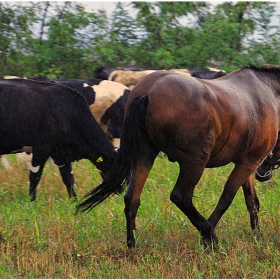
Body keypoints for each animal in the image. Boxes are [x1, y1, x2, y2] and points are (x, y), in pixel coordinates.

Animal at [75, 64, 280, 248]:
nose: (264, 174)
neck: (269, 91)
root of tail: (148, 92)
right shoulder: (249, 162)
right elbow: (226, 199)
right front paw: (208, 236)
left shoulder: (246, 163)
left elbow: (251, 201)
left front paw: (257, 236)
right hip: (194, 163)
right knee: (181, 196)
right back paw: (209, 235)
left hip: (144, 155)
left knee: (132, 198)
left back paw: (132, 245)